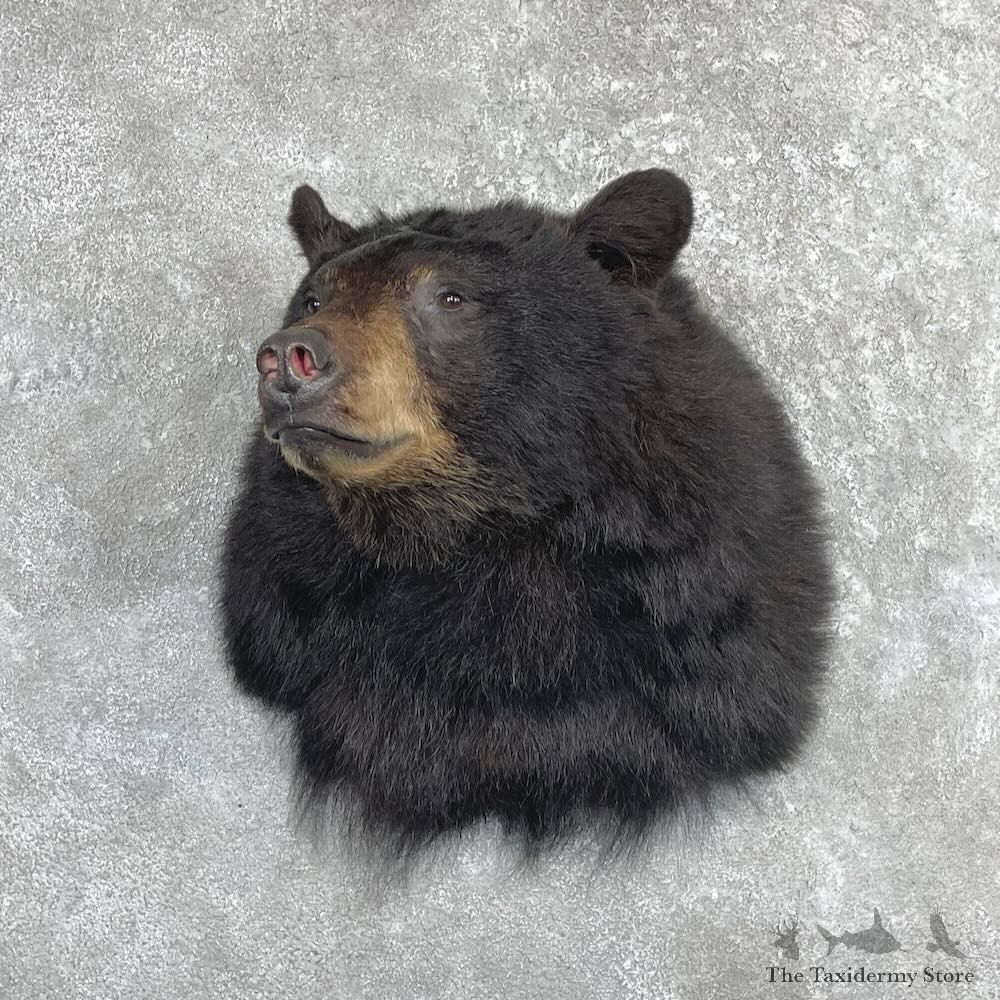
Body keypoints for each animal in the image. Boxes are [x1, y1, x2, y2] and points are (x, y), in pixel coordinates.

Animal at [220, 169, 834, 856]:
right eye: (313, 300)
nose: (288, 356)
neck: (478, 530)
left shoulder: (700, 602)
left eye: (451, 297)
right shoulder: (288, 601)